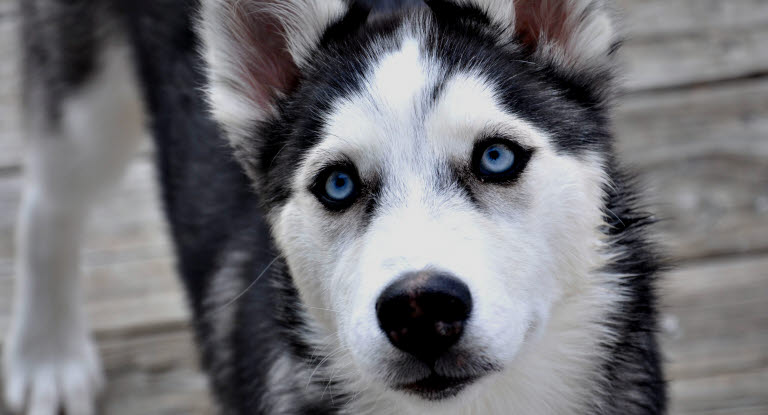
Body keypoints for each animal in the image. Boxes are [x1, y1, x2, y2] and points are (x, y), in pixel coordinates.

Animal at [4, 0, 664, 414]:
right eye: (339, 184)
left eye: (496, 157)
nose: (419, 308)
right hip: (85, 108)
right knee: (46, 205)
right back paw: (48, 356)